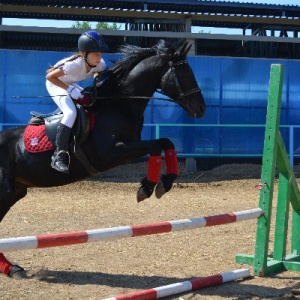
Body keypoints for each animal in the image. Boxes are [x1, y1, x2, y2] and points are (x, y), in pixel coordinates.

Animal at [0, 39, 205, 278]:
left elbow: (166, 143)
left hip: (15, 192)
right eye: (185, 71)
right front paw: (147, 187)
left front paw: (162, 183)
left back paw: (11, 268)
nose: (201, 108)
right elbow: (157, 145)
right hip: (5, 192)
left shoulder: (127, 151)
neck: (119, 105)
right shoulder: (112, 153)